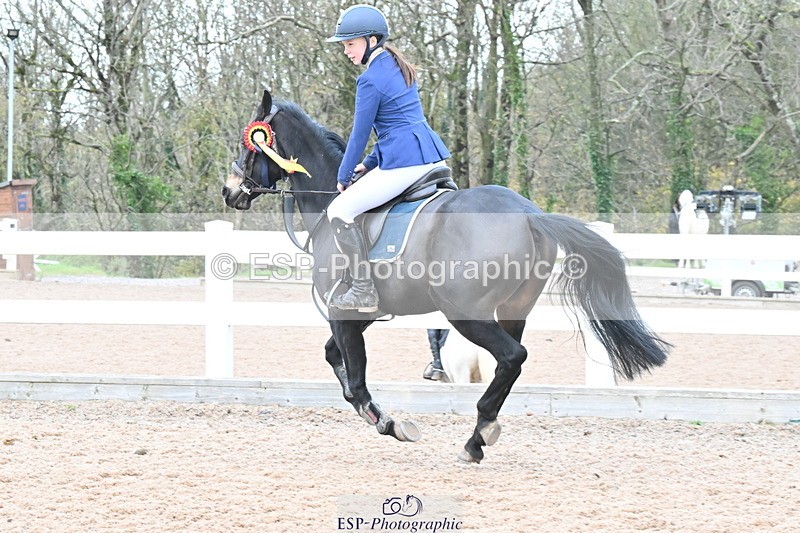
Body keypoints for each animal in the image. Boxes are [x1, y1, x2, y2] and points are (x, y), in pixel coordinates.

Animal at [222, 90, 670, 463]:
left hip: (466, 313)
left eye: (248, 144)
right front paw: (384, 418)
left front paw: (390, 423)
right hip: (513, 310)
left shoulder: (343, 311)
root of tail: (531, 214)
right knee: (508, 364)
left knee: (513, 357)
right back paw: (480, 434)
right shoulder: (362, 313)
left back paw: (477, 436)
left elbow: (355, 380)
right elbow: (338, 360)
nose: (229, 192)